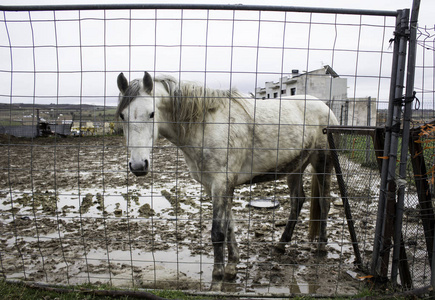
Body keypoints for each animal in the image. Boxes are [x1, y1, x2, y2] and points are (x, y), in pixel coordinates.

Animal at [116, 71, 340, 290]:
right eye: (122, 116)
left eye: (151, 114)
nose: (138, 166)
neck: (206, 125)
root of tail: (325, 107)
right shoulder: (217, 187)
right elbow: (230, 226)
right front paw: (232, 267)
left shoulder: (221, 184)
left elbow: (217, 232)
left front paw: (217, 276)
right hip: (296, 167)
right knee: (297, 201)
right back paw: (281, 244)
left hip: (322, 164)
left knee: (324, 202)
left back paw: (321, 246)